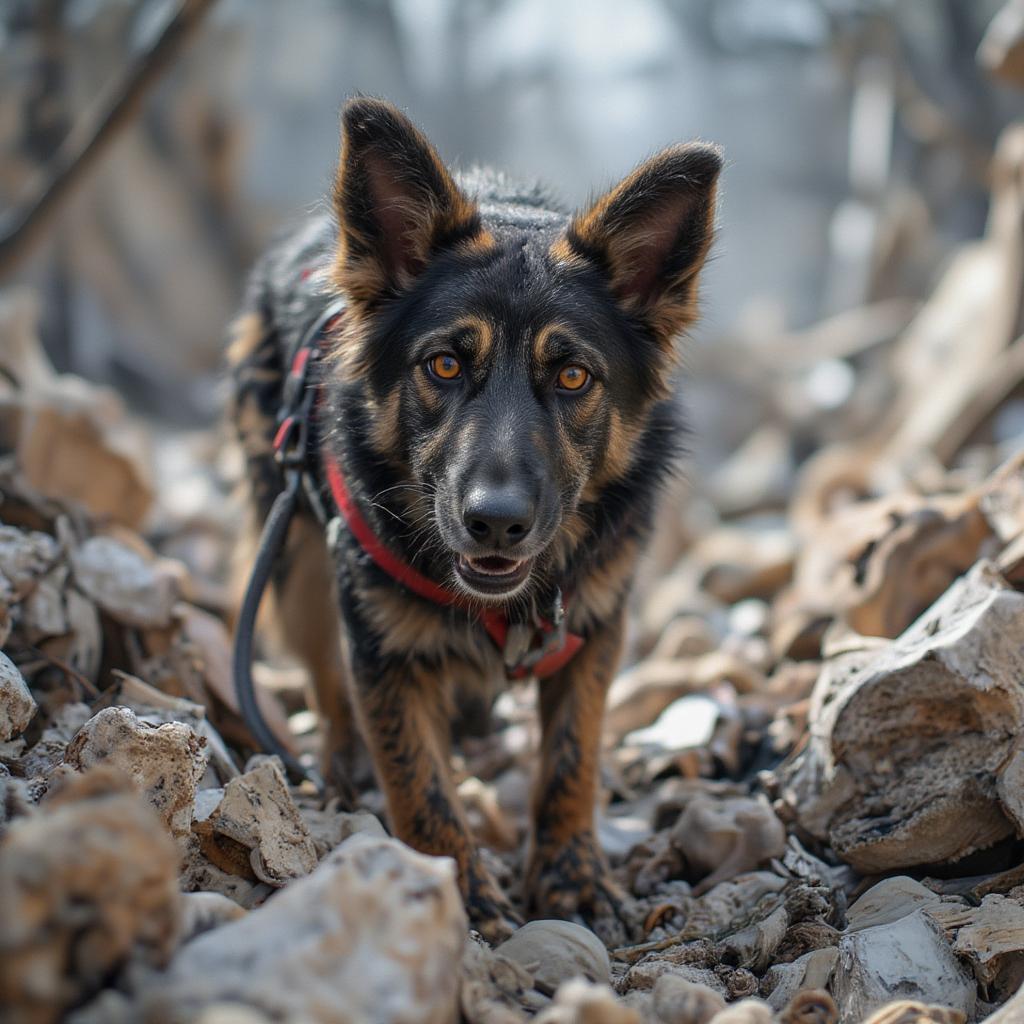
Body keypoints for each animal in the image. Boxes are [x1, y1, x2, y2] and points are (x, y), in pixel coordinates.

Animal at [228, 97, 724, 942]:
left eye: (572, 376)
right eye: (445, 365)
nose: (496, 522)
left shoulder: (595, 630)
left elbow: (571, 760)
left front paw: (571, 879)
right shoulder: (383, 652)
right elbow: (418, 782)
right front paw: (455, 889)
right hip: (293, 552)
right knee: (325, 676)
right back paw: (344, 765)